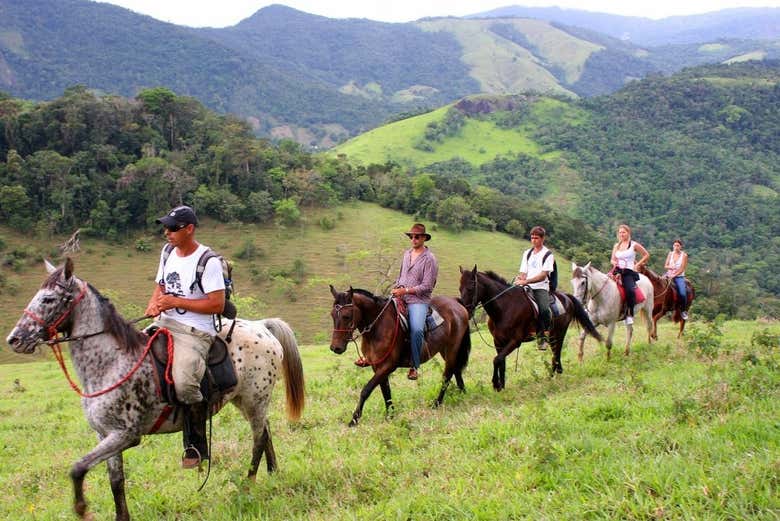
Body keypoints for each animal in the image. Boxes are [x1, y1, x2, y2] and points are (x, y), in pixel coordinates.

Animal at [328, 284, 470, 426]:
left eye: (346, 316)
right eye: (332, 315)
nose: (336, 348)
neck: (377, 328)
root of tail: (455, 302)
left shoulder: (388, 365)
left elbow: (366, 390)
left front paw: (354, 419)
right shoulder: (377, 366)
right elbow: (385, 391)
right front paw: (390, 415)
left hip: (452, 349)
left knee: (447, 375)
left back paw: (437, 403)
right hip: (445, 350)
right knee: (456, 370)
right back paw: (463, 393)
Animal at [458, 266, 604, 388]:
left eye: (470, 288)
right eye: (460, 288)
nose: (465, 311)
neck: (505, 308)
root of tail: (566, 297)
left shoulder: (515, 341)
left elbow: (496, 360)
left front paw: (495, 384)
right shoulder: (498, 341)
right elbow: (501, 362)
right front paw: (501, 386)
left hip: (558, 333)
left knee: (556, 352)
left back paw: (553, 375)